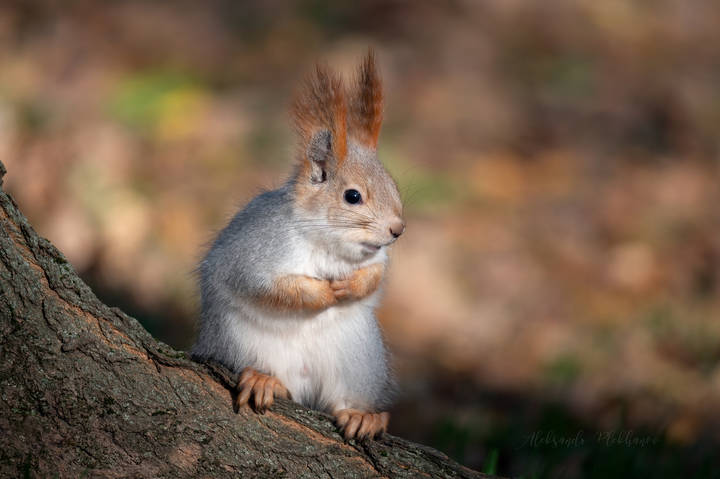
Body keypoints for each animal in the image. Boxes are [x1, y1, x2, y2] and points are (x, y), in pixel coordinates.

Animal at [191, 51, 405, 441]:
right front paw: (322, 293)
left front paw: (352, 286)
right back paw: (263, 380)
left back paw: (362, 415)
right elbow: (266, 286)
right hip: (239, 341)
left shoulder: (377, 258)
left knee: (341, 400)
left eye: (393, 185)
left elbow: (376, 275)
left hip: (359, 359)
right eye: (353, 196)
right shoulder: (255, 252)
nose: (398, 230)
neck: (326, 243)